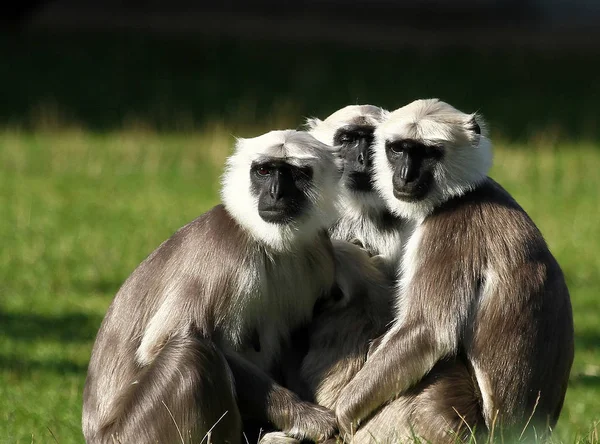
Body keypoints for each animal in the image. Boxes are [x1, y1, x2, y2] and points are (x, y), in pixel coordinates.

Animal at [81, 130, 342, 442]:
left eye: (296, 173)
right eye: (264, 171)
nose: (276, 193)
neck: (269, 243)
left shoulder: (319, 251)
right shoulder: (225, 257)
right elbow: (160, 345)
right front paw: (306, 417)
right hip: (134, 434)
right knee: (191, 354)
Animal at [336, 99, 576, 442]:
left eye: (427, 153)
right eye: (397, 149)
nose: (405, 176)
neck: (464, 192)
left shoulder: (451, 228)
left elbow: (426, 333)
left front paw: (340, 416)